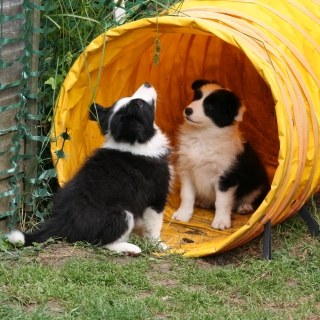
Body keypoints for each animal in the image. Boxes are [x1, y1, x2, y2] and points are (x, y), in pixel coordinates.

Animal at [7, 82, 171, 255]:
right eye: (139, 103)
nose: (147, 83)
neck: (130, 142)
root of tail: (63, 221)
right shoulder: (157, 194)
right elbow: (154, 225)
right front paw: (159, 245)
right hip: (122, 214)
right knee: (100, 242)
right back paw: (130, 248)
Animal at [171, 80, 268, 230]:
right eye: (196, 97)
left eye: (210, 106)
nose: (188, 110)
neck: (202, 135)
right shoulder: (187, 170)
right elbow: (186, 195)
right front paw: (183, 215)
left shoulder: (226, 176)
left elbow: (222, 202)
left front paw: (221, 222)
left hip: (259, 181)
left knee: (252, 196)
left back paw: (244, 207)